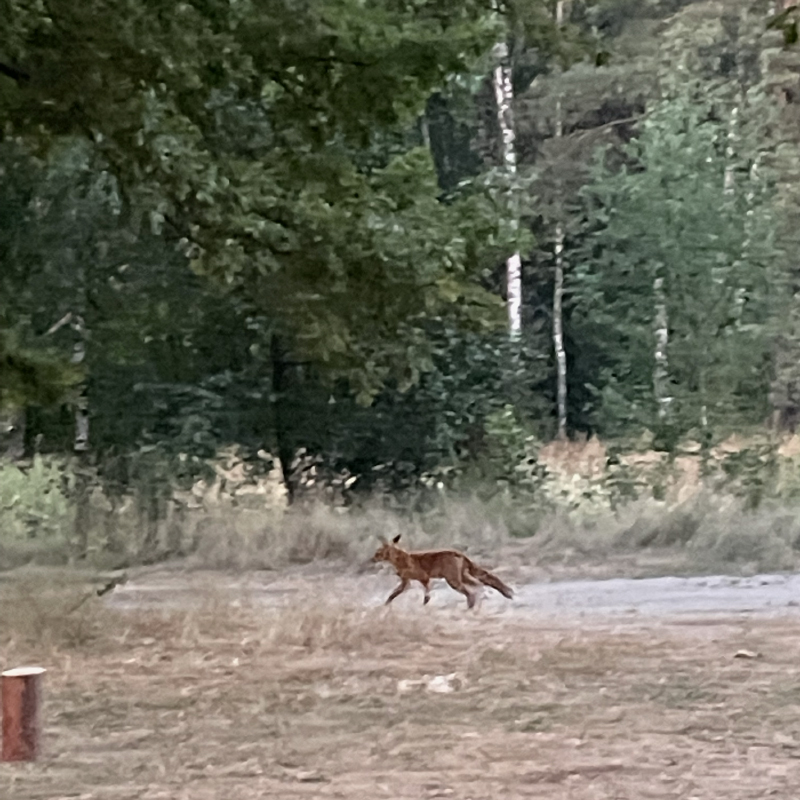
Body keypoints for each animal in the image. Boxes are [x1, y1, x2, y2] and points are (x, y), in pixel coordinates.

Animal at [374, 536, 516, 608]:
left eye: (378, 552)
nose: (372, 557)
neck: (400, 559)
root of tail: (460, 553)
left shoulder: (423, 578)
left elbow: (426, 595)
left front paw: (424, 605)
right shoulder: (406, 581)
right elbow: (392, 595)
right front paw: (384, 606)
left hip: (453, 581)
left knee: (472, 591)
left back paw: (471, 607)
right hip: (462, 577)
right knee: (483, 582)